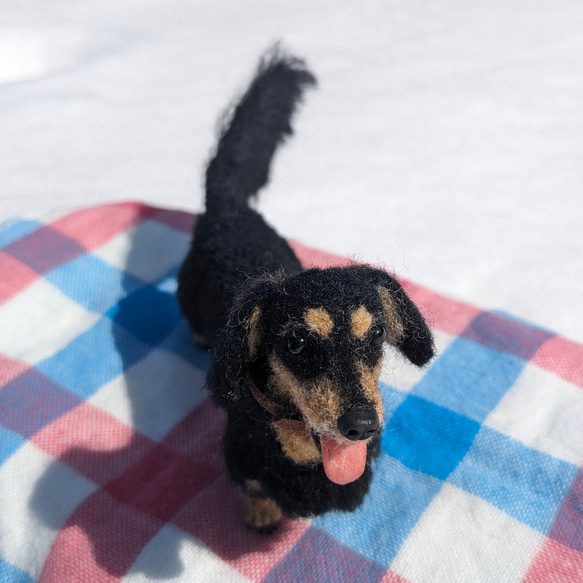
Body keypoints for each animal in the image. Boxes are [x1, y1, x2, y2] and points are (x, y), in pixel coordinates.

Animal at [178, 50, 434, 532]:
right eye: (295, 341)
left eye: (376, 335)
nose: (362, 426)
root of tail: (227, 203)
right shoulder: (242, 459)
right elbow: (254, 490)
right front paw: (262, 516)